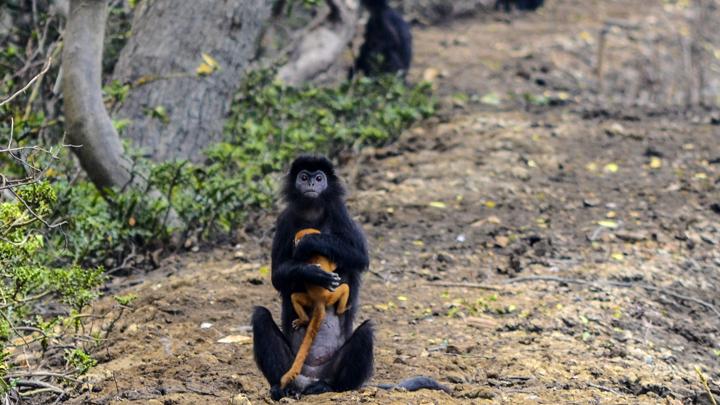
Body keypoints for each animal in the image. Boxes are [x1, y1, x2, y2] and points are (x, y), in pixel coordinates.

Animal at [278, 227, 352, 388]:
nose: (294, 242)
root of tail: (320, 301)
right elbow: (334, 266)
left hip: (310, 300)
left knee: (294, 297)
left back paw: (303, 320)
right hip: (332, 295)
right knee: (345, 288)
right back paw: (342, 309)